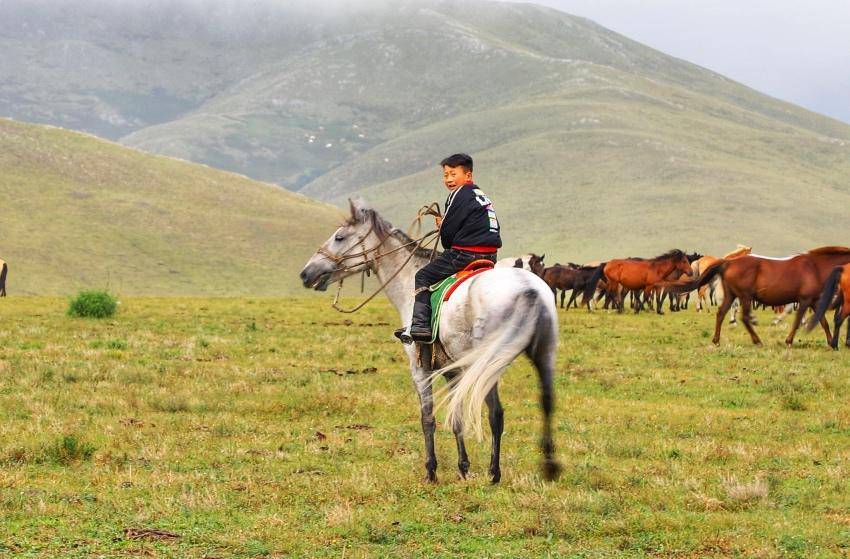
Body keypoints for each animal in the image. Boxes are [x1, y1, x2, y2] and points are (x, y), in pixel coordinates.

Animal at [300, 202, 564, 486]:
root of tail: (528, 289)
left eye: (339, 237)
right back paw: (549, 466)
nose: (306, 273)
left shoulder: (420, 369)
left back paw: (494, 473)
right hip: (543, 355)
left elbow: (428, 417)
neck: (407, 282)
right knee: (546, 402)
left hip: (490, 362)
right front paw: (463, 468)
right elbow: (456, 417)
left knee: (496, 412)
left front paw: (431, 471)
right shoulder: (452, 370)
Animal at [668, 248, 848, 348]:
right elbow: (798, 321)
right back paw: (757, 341)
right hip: (745, 296)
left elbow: (823, 322)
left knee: (721, 313)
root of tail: (728, 263)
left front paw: (832, 343)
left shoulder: (814, 301)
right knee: (744, 317)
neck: (815, 267)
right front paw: (789, 340)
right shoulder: (805, 300)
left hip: (732, 295)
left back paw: (716, 340)